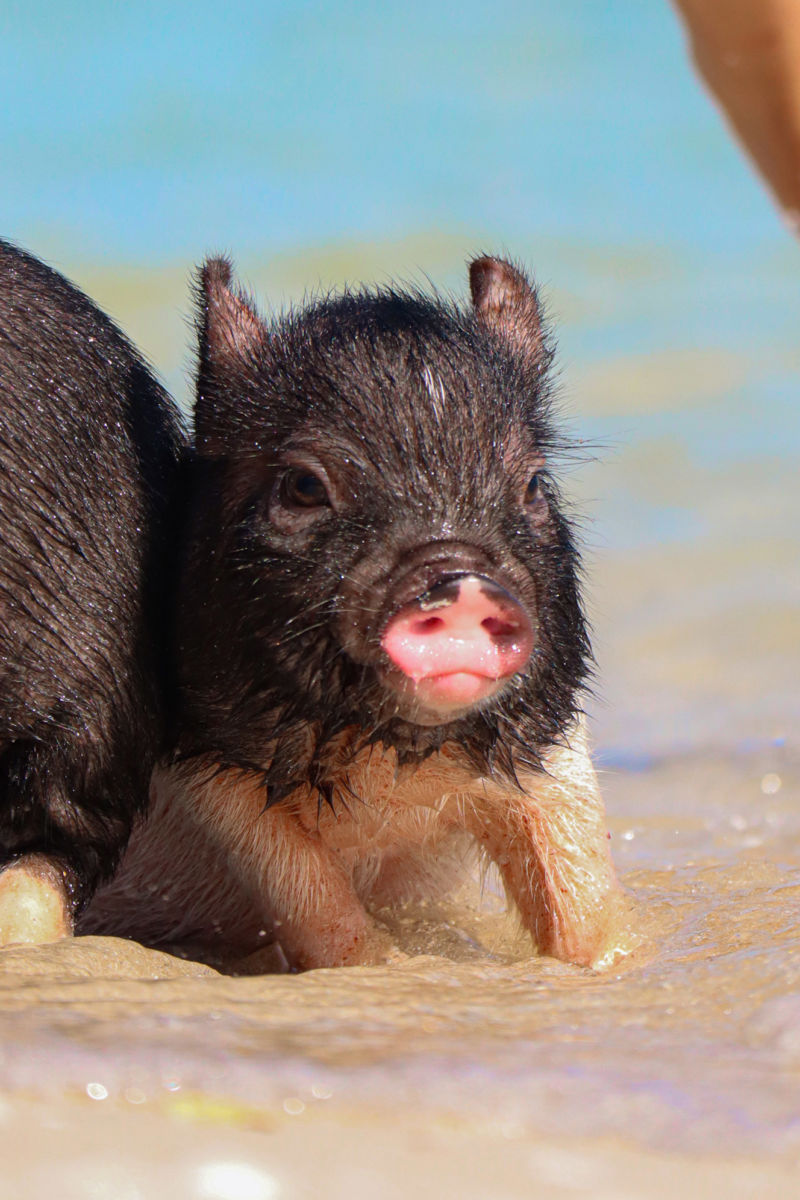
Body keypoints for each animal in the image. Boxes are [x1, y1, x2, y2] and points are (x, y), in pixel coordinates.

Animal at [83, 254, 623, 970]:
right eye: (304, 486)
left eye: (534, 484)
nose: (459, 579)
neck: (392, 769)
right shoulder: (205, 758)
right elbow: (314, 901)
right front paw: (393, 967)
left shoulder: (547, 731)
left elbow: (581, 888)